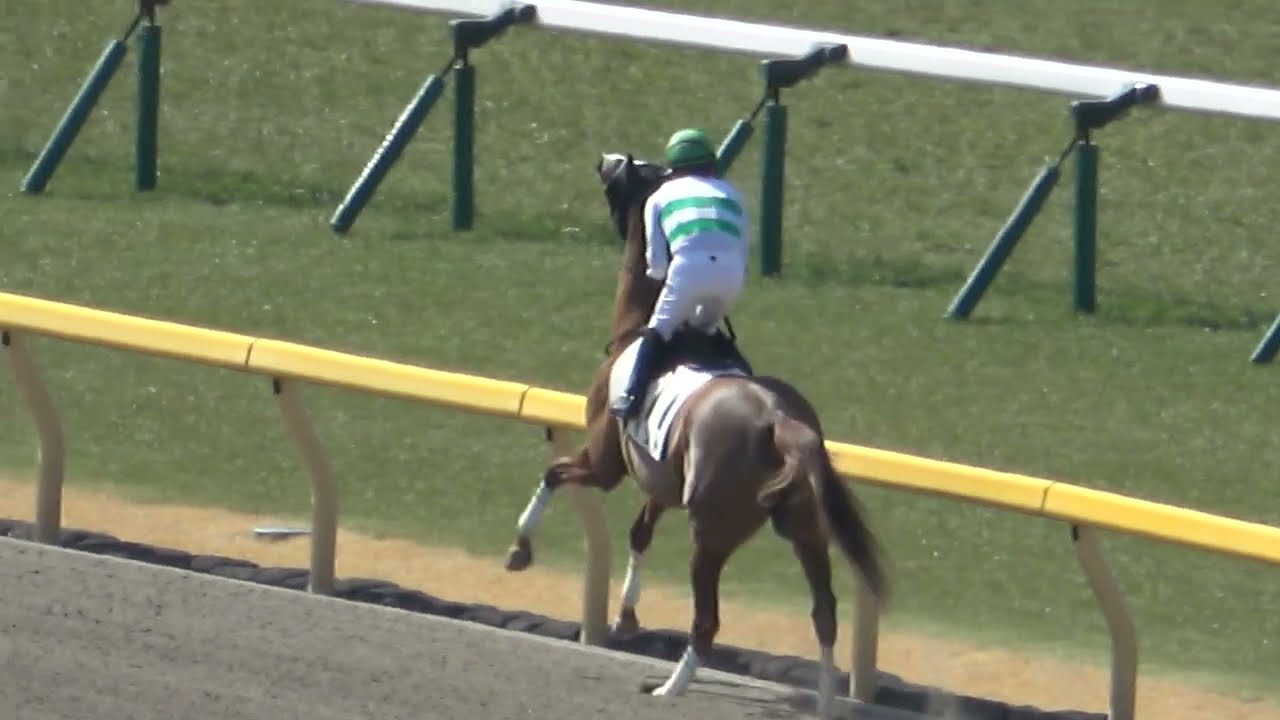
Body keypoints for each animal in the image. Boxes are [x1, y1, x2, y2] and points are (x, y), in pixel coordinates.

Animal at [504, 152, 887, 717]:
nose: (603, 160)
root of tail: (779, 421)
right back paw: (823, 701)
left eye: (630, 173)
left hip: (710, 532)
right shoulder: (661, 476)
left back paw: (671, 686)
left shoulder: (606, 463)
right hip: (805, 528)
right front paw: (625, 615)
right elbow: (639, 531)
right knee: (824, 612)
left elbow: (554, 473)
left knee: (707, 621)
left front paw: (521, 549)